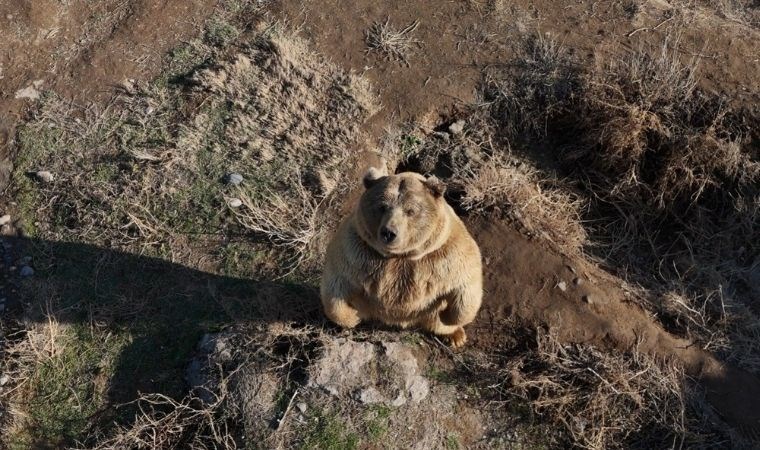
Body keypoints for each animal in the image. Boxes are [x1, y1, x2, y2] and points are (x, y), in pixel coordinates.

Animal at [318, 167, 484, 346]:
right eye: (382, 206)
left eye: (410, 210)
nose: (388, 233)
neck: (402, 255)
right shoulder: (356, 251)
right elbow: (336, 285)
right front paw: (352, 318)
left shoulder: (443, 254)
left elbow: (466, 284)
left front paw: (449, 317)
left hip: (428, 312)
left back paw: (456, 336)